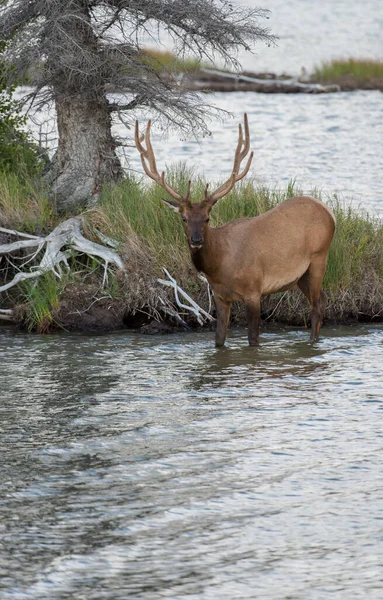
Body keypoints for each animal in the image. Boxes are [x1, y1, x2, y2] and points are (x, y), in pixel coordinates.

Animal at [135, 115, 336, 346]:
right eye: (184, 218)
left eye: (207, 218)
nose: (196, 239)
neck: (220, 266)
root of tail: (330, 212)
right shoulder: (220, 297)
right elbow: (219, 340)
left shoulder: (254, 290)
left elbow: (253, 339)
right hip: (300, 274)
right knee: (322, 298)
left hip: (320, 256)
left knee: (316, 305)